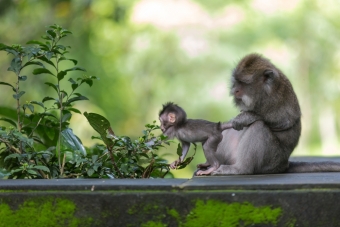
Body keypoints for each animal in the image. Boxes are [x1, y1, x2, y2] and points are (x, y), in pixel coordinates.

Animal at [210, 53, 340, 176]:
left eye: (244, 83)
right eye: (236, 82)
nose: (234, 90)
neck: (264, 92)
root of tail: (284, 164)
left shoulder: (275, 99)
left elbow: (285, 122)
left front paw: (246, 117)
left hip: (272, 161)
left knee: (258, 127)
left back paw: (240, 169)